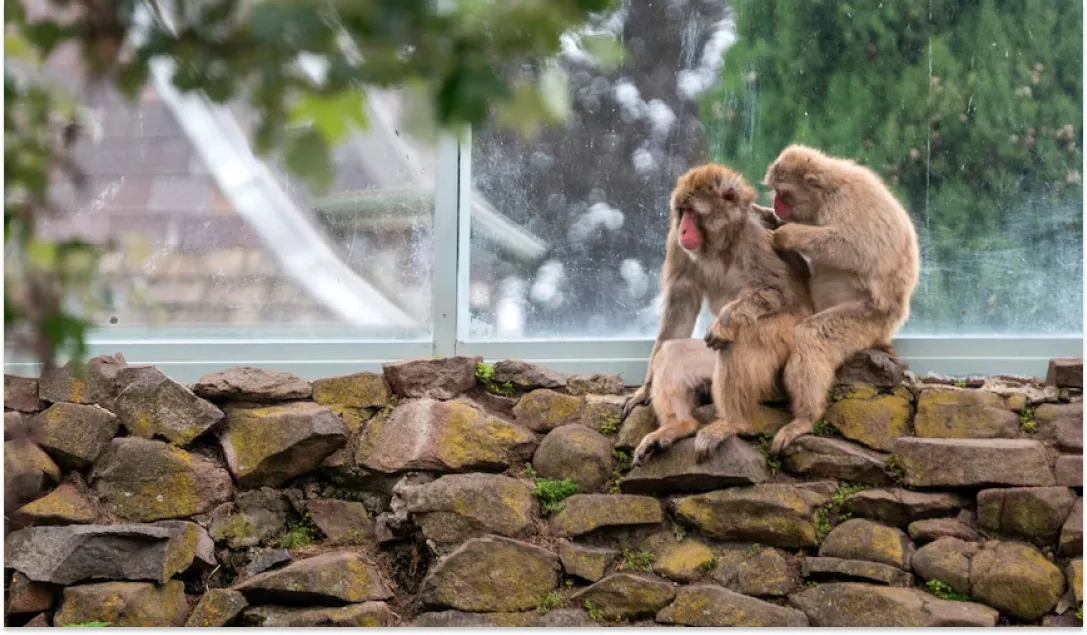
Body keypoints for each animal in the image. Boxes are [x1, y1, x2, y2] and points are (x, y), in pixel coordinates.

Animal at [630, 164, 817, 463]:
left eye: (693, 212)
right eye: (682, 211)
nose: (683, 229)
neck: (720, 242)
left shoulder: (757, 238)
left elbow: (777, 292)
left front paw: (726, 320)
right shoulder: (677, 245)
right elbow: (680, 306)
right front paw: (645, 388)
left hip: (786, 335)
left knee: (740, 339)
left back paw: (732, 423)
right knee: (673, 353)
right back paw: (678, 426)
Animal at [760, 142, 921, 456]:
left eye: (783, 193)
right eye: (775, 193)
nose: (776, 204)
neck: (825, 195)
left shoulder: (846, 202)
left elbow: (856, 248)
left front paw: (787, 235)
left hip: (867, 318)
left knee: (812, 336)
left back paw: (805, 418)